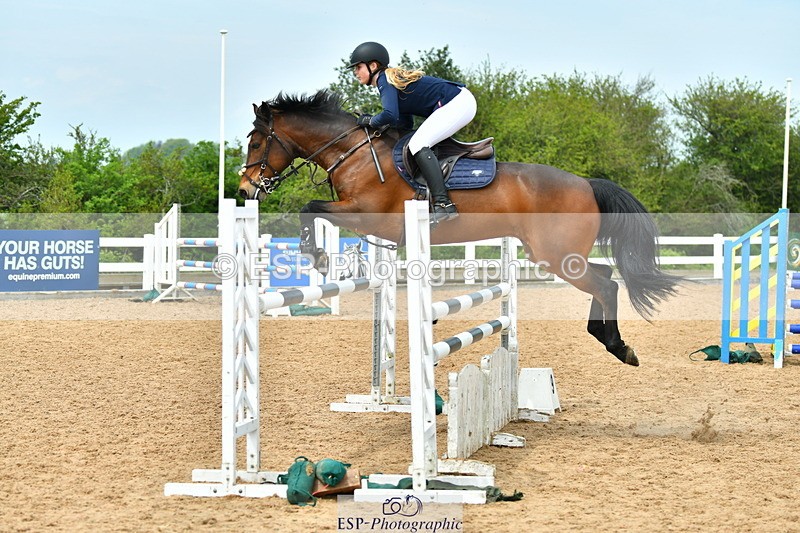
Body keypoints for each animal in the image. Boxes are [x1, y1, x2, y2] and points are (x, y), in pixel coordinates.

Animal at [238, 89, 680, 366]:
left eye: (256, 142)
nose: (245, 189)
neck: (355, 152)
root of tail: (587, 183)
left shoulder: (366, 214)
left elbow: (308, 207)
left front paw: (317, 256)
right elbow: (313, 209)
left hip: (554, 255)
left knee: (606, 284)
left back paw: (619, 347)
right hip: (561, 254)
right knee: (605, 277)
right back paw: (603, 336)